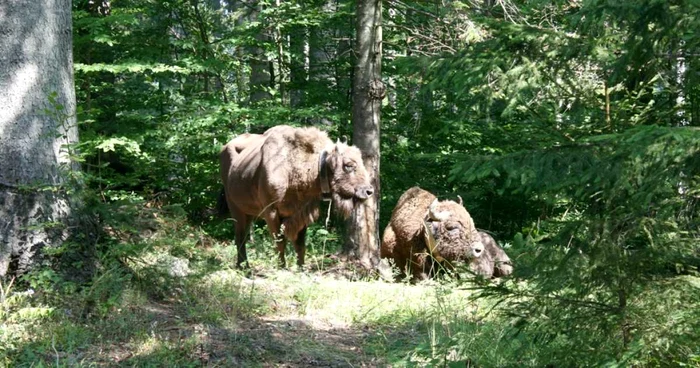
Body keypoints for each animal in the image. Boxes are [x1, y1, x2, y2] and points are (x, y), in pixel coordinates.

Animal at [220, 126, 374, 268]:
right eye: (349, 165)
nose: (369, 191)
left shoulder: (301, 213)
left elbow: (300, 245)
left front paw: (301, 268)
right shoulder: (271, 212)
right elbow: (280, 242)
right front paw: (282, 267)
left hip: (248, 212)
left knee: (243, 235)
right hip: (235, 208)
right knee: (240, 236)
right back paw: (244, 267)